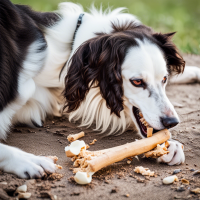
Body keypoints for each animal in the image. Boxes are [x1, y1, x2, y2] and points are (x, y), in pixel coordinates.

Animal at [0, 0, 200, 178]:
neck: (67, 57)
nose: (172, 122)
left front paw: (170, 144)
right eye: (137, 82)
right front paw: (27, 160)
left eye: (164, 79)